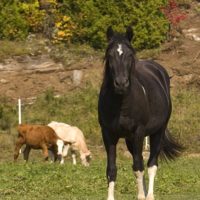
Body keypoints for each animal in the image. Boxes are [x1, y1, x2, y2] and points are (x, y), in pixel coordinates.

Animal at [97, 27, 184, 200]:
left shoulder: (138, 132)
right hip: (130, 140)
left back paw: (149, 195)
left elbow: (138, 167)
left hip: (157, 132)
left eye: (130, 55)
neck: (121, 105)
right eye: (110, 55)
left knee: (151, 164)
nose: (121, 83)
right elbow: (112, 169)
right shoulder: (108, 134)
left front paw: (141, 196)